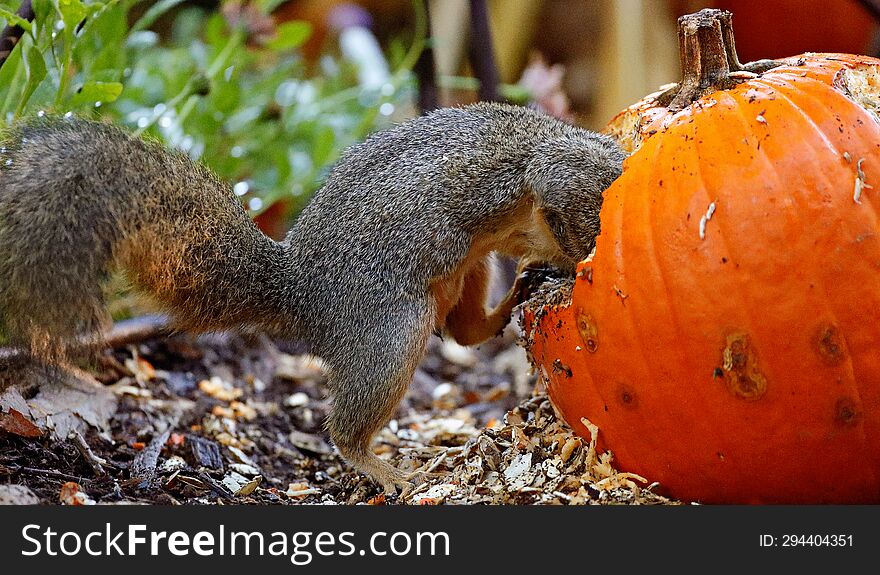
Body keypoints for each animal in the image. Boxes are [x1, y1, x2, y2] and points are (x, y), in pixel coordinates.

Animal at [0, 102, 624, 490]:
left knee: (465, 330)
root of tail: (302, 293)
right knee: (350, 424)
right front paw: (575, 267)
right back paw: (384, 469)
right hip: (391, 330)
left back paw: (516, 292)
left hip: (464, 272)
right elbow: (563, 215)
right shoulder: (558, 179)